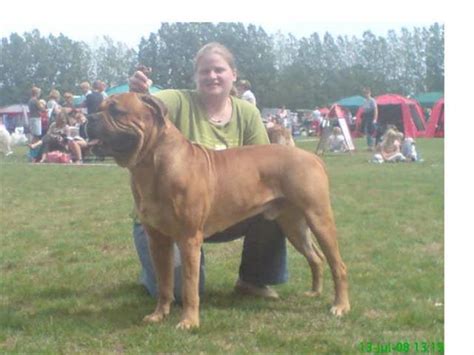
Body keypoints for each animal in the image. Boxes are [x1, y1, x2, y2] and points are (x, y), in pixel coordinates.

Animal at [87, 94, 350, 330]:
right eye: (98, 108)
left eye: (116, 111)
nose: (90, 118)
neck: (151, 165)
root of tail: (313, 158)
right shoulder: (158, 240)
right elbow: (165, 283)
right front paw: (158, 315)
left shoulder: (189, 239)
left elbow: (189, 286)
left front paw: (189, 322)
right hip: (293, 225)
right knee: (316, 257)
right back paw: (314, 293)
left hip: (319, 218)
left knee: (338, 265)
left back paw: (340, 306)